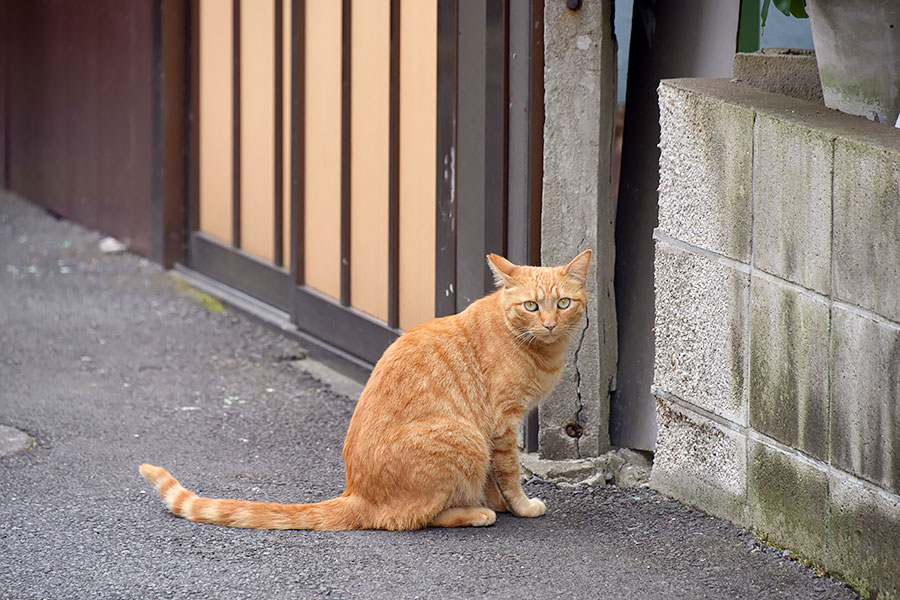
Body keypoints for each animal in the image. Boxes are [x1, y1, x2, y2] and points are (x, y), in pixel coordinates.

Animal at [141, 250, 592, 528]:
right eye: (531, 306)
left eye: (563, 304)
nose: (549, 324)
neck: (532, 344)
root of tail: (356, 493)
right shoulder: (501, 424)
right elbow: (510, 473)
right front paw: (519, 506)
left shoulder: (498, 428)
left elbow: (495, 479)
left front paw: (499, 500)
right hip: (463, 437)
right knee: (409, 520)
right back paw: (474, 513)